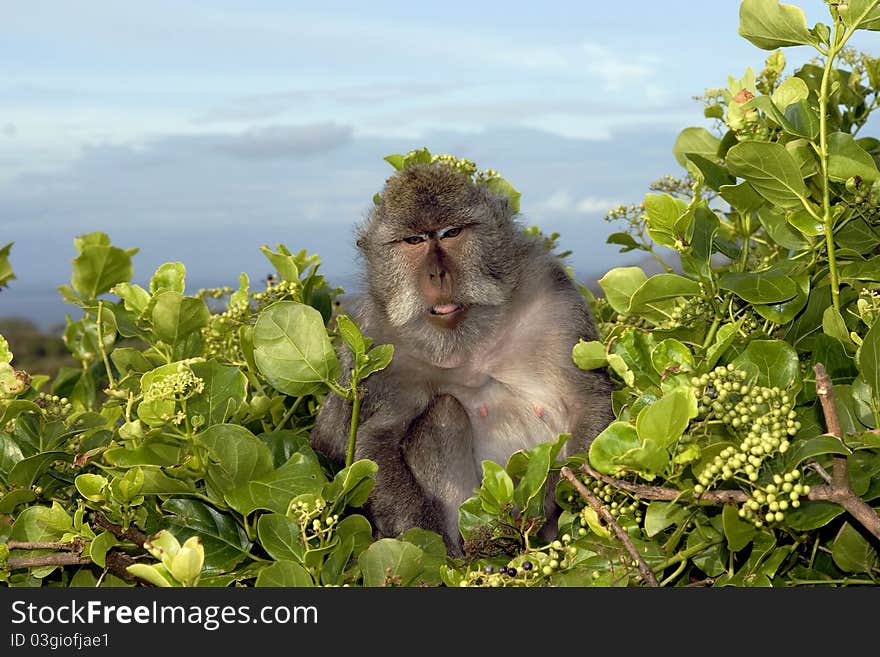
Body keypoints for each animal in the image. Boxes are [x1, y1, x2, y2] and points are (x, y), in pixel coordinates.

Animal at [310, 163, 612, 552]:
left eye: (451, 232)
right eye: (414, 241)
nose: (438, 274)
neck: (469, 343)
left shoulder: (552, 295)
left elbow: (587, 401)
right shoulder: (377, 344)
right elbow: (366, 442)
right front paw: (426, 550)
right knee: (444, 412)